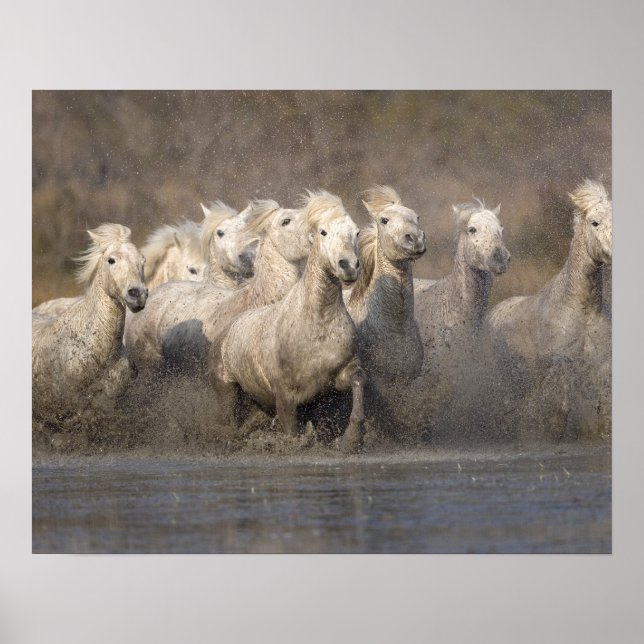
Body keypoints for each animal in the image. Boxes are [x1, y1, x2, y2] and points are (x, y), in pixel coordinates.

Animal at [209, 190, 365, 452]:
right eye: (323, 232)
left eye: (356, 232)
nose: (348, 266)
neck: (317, 323)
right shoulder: (285, 397)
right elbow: (292, 433)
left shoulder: (339, 376)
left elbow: (358, 385)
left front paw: (350, 439)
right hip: (228, 393)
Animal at [487, 179, 612, 439]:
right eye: (594, 222)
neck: (582, 308)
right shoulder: (561, 365)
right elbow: (558, 415)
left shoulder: (601, 366)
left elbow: (605, 412)